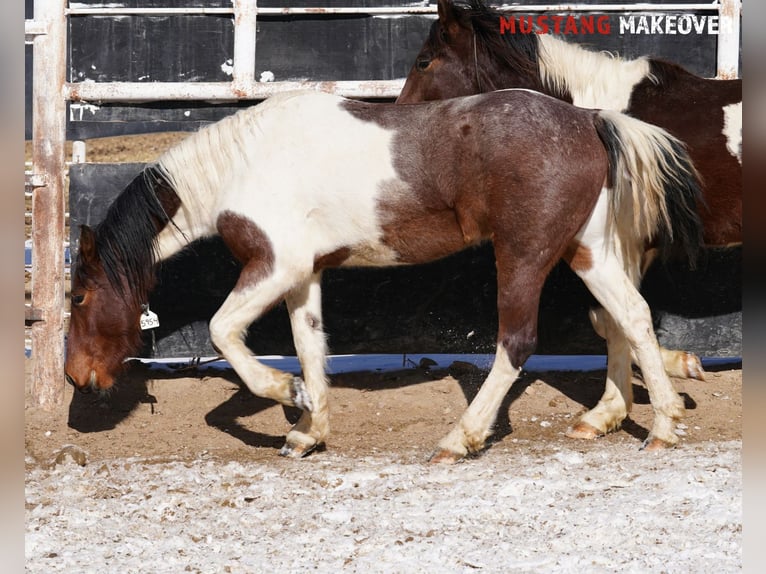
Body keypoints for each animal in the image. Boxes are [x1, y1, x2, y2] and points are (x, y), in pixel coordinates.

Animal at [66, 91, 704, 468]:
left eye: (78, 294)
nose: (76, 377)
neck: (243, 167)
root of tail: (588, 119)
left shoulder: (275, 266)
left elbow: (225, 334)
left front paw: (287, 395)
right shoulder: (303, 276)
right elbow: (310, 347)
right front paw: (308, 429)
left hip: (524, 255)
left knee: (517, 342)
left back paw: (460, 438)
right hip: (587, 250)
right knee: (631, 316)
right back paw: (660, 424)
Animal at [400, 0, 740, 440]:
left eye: (424, 61)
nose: (401, 120)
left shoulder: (626, 241)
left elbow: (619, 317)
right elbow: (612, 318)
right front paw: (616, 407)